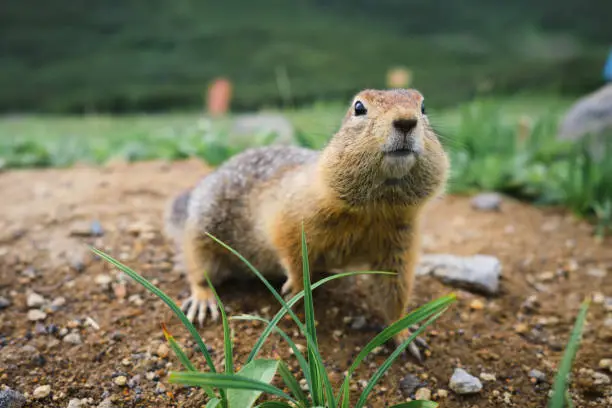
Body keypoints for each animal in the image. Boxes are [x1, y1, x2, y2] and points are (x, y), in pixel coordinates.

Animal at [163, 89, 450, 360]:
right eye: (359, 107)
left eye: (423, 106)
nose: (406, 121)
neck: (373, 210)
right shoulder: (293, 217)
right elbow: (291, 251)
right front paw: (297, 287)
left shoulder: (400, 242)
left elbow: (396, 289)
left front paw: (404, 333)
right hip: (204, 227)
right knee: (197, 265)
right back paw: (203, 300)